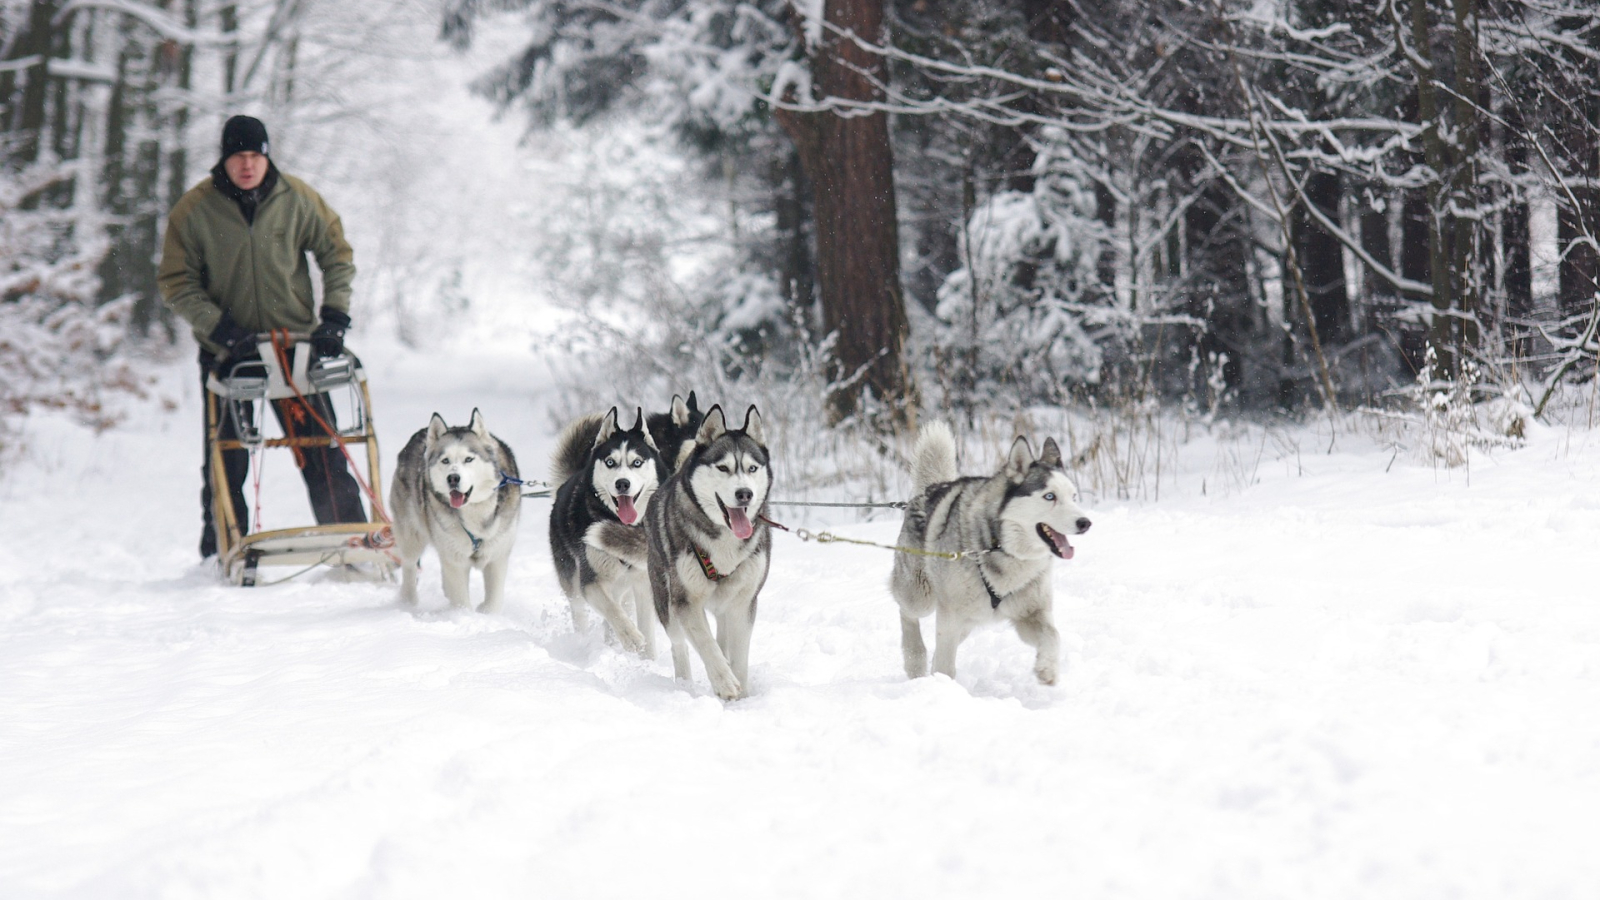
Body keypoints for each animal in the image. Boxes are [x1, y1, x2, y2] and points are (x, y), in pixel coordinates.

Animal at [390, 408, 521, 608]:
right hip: (411, 536)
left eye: (469, 459)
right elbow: (461, 600)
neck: (476, 512)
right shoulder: (455, 560)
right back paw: (409, 601)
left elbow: (493, 602)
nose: (453, 478)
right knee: (409, 565)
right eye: (445, 460)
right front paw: (463, 614)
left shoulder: (497, 557)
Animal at [550, 406, 668, 650]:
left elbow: (646, 630)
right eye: (610, 462)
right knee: (582, 613)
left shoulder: (643, 584)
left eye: (637, 462)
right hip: (573, 581)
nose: (622, 483)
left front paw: (646, 655)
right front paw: (630, 636)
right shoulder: (591, 581)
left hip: (624, 587)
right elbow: (612, 610)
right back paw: (584, 642)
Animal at [649, 403, 774, 698]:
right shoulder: (686, 601)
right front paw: (725, 682)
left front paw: (742, 694)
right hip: (665, 600)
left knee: (722, 636)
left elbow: (738, 654)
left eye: (752, 468)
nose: (745, 493)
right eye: (723, 467)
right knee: (680, 644)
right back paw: (685, 683)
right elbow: (706, 644)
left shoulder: (743, 602)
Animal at [883, 422, 1094, 682]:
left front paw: (1047, 669)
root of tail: (929, 490)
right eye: (1050, 496)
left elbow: (1053, 637)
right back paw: (915, 659)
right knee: (907, 614)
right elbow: (945, 664)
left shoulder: (1030, 613)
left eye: (1073, 497)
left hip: (969, 620)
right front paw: (943, 685)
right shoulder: (950, 616)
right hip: (920, 596)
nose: (1085, 522)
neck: (1003, 549)